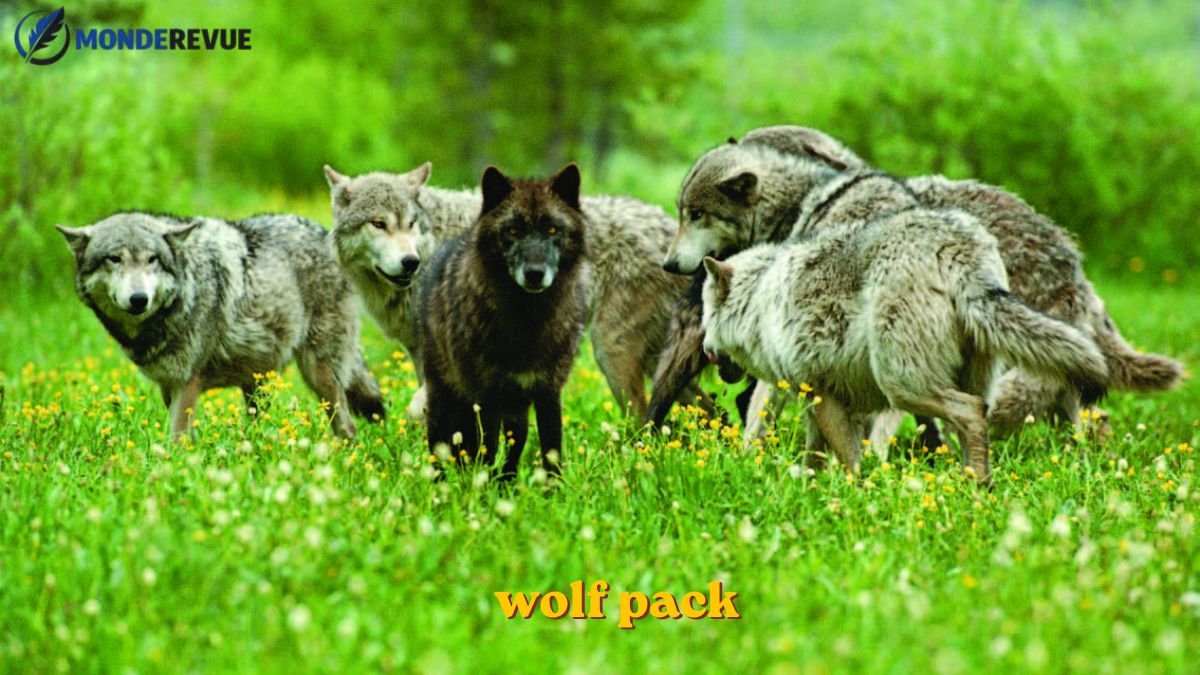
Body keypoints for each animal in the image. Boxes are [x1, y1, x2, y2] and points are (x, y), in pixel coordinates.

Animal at [58, 212, 385, 439]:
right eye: (114, 259)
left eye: (152, 259)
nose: (139, 299)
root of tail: (325, 232)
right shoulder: (168, 386)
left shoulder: (188, 384)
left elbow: (176, 439)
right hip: (256, 384)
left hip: (320, 376)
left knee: (348, 428)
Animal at [323, 162, 693, 420]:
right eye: (378, 223)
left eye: (411, 223)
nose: (409, 262)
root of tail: (670, 231)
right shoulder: (422, 351)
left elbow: (422, 407)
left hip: (611, 353)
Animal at [416, 164, 588, 479]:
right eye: (513, 230)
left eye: (552, 229)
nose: (534, 273)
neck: (528, 322)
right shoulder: (488, 398)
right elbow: (487, 450)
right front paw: (481, 487)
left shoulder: (548, 392)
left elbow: (551, 451)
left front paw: (554, 490)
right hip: (445, 396)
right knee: (441, 443)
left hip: (514, 409)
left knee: (514, 443)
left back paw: (506, 480)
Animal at [651, 125, 1182, 438]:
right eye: (681, 213)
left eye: (695, 215)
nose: (669, 264)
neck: (804, 200)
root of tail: (1071, 259)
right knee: (1089, 416)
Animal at [699, 202, 1109, 485]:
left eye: (705, 316)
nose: (704, 349)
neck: (760, 299)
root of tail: (956, 251)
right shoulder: (825, 404)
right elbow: (815, 459)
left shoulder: (826, 400)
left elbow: (851, 462)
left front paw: (856, 497)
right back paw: (975, 490)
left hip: (901, 386)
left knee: (971, 412)